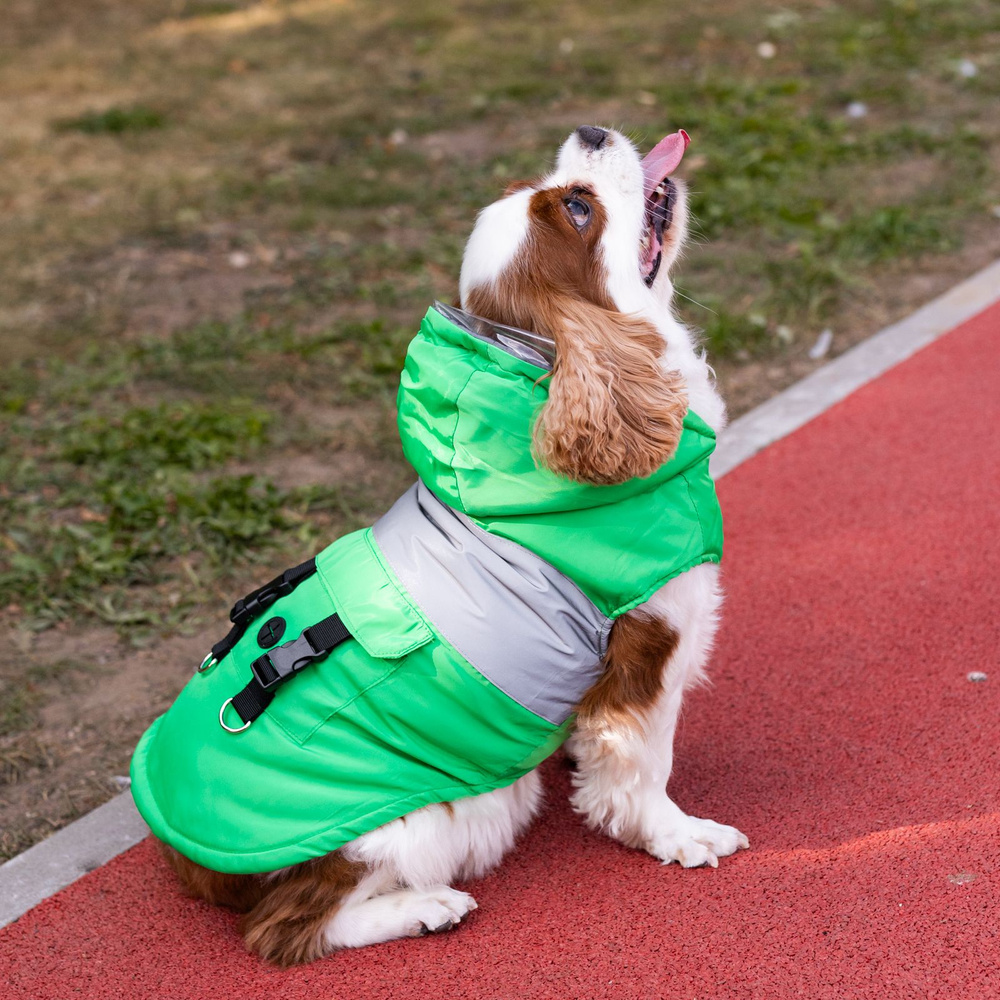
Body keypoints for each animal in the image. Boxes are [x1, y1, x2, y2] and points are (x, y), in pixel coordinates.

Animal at [150, 123, 752, 960]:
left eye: (551, 185)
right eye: (578, 208)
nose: (591, 130)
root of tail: (191, 863)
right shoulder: (651, 648)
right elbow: (643, 769)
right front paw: (678, 835)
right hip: (427, 820)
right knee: (284, 930)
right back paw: (426, 908)